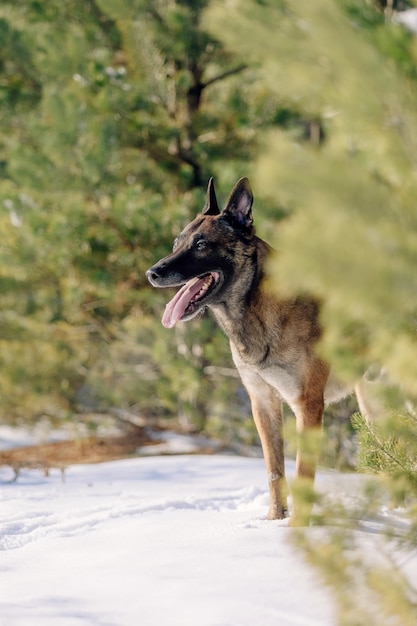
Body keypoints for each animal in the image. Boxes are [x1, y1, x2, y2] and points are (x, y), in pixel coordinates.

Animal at [145, 178, 348, 524]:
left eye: (201, 244)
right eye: (177, 242)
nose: (152, 273)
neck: (256, 308)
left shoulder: (307, 406)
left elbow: (303, 474)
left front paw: (298, 529)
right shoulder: (263, 403)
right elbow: (274, 472)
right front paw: (274, 521)